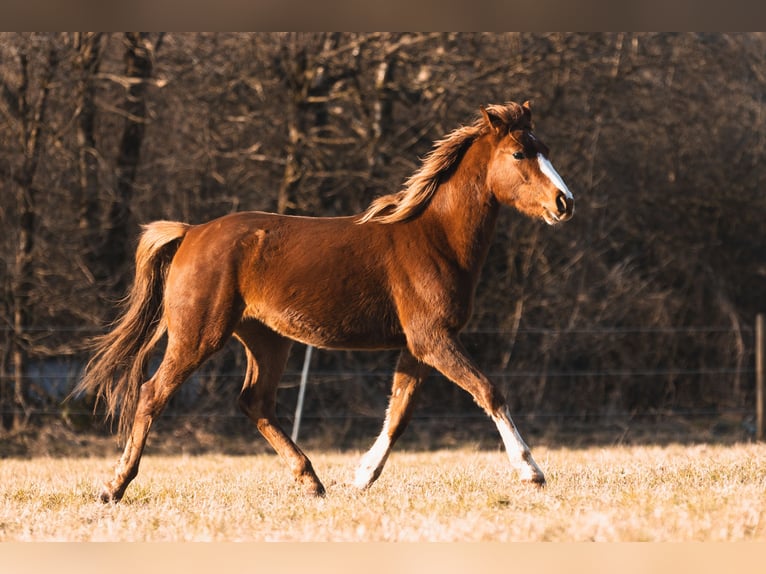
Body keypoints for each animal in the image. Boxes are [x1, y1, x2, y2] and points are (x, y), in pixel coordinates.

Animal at [75, 102, 572, 504]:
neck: (435, 237)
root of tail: (191, 232)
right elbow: (488, 391)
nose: (564, 202)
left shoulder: (419, 345)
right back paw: (114, 487)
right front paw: (531, 472)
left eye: (546, 147)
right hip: (199, 335)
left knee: (256, 402)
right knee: (152, 394)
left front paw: (362, 475)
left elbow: (399, 413)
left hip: (267, 340)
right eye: (519, 154)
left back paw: (311, 481)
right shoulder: (433, 339)